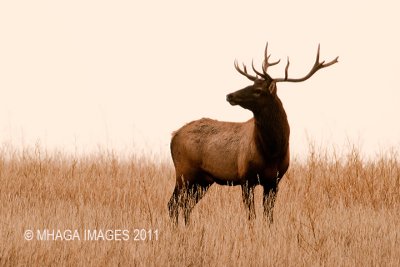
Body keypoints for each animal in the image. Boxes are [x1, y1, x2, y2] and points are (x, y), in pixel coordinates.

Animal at [166, 43, 338, 225]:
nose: (230, 95)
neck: (271, 151)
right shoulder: (246, 178)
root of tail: (173, 135)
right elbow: (251, 216)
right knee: (173, 203)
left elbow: (268, 216)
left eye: (258, 90)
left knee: (186, 205)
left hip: (203, 179)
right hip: (184, 172)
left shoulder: (274, 181)